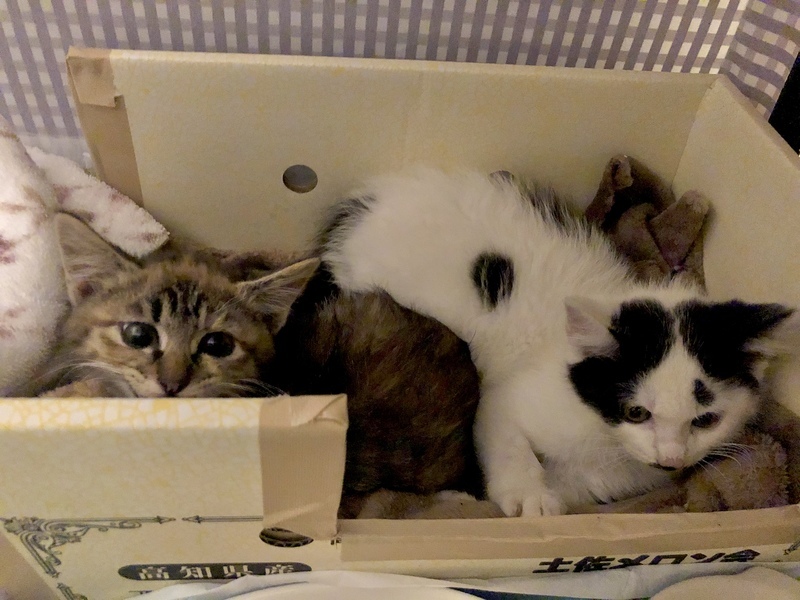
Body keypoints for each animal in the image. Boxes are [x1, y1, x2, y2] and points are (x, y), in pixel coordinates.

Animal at [321, 168, 800, 517]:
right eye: (636, 412)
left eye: (706, 420)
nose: (670, 457)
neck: (603, 437)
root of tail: (363, 205)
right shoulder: (503, 400)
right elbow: (505, 437)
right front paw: (526, 495)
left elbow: (582, 487)